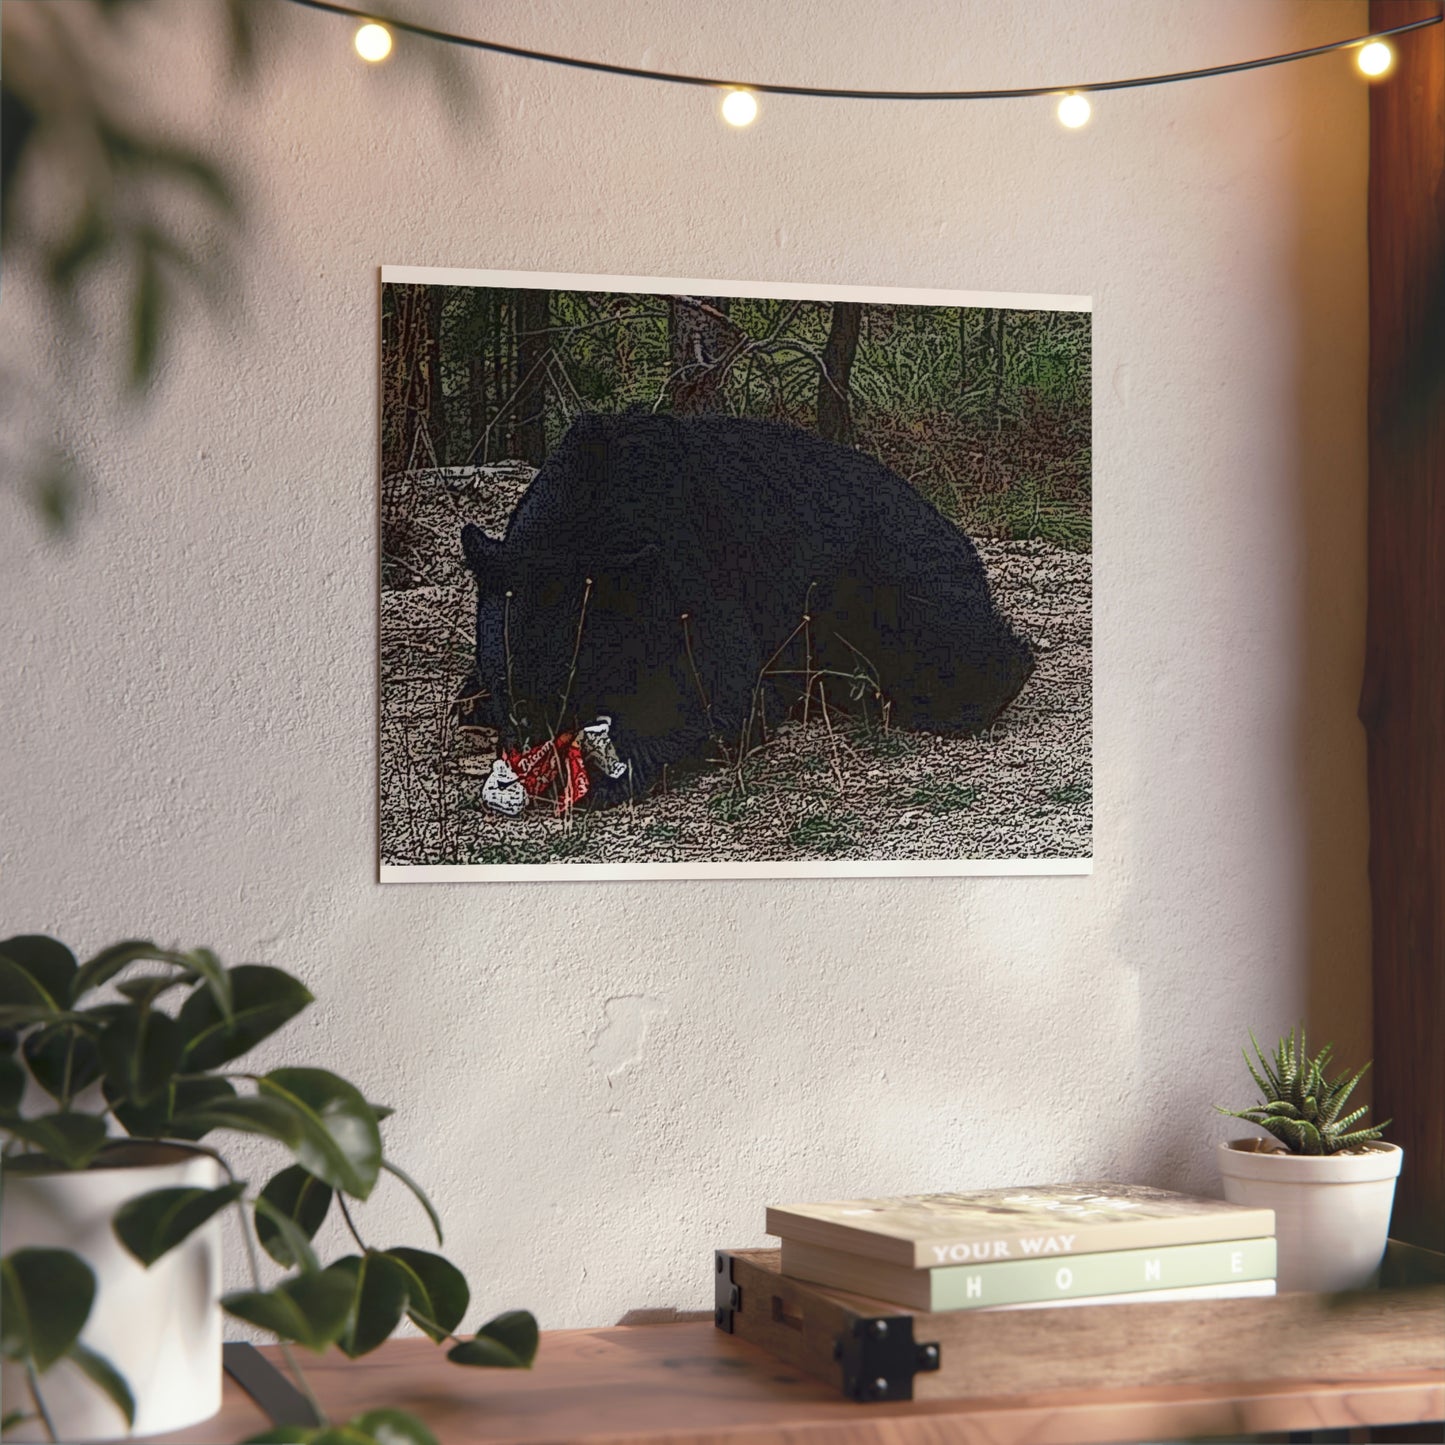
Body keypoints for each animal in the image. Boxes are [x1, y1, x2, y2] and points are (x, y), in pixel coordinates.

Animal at [460, 411, 1034, 808]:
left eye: (571, 684)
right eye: (510, 688)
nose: (530, 746)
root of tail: (962, 539)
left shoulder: (686, 568)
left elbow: (720, 691)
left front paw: (610, 769)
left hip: (894, 583)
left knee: (954, 658)